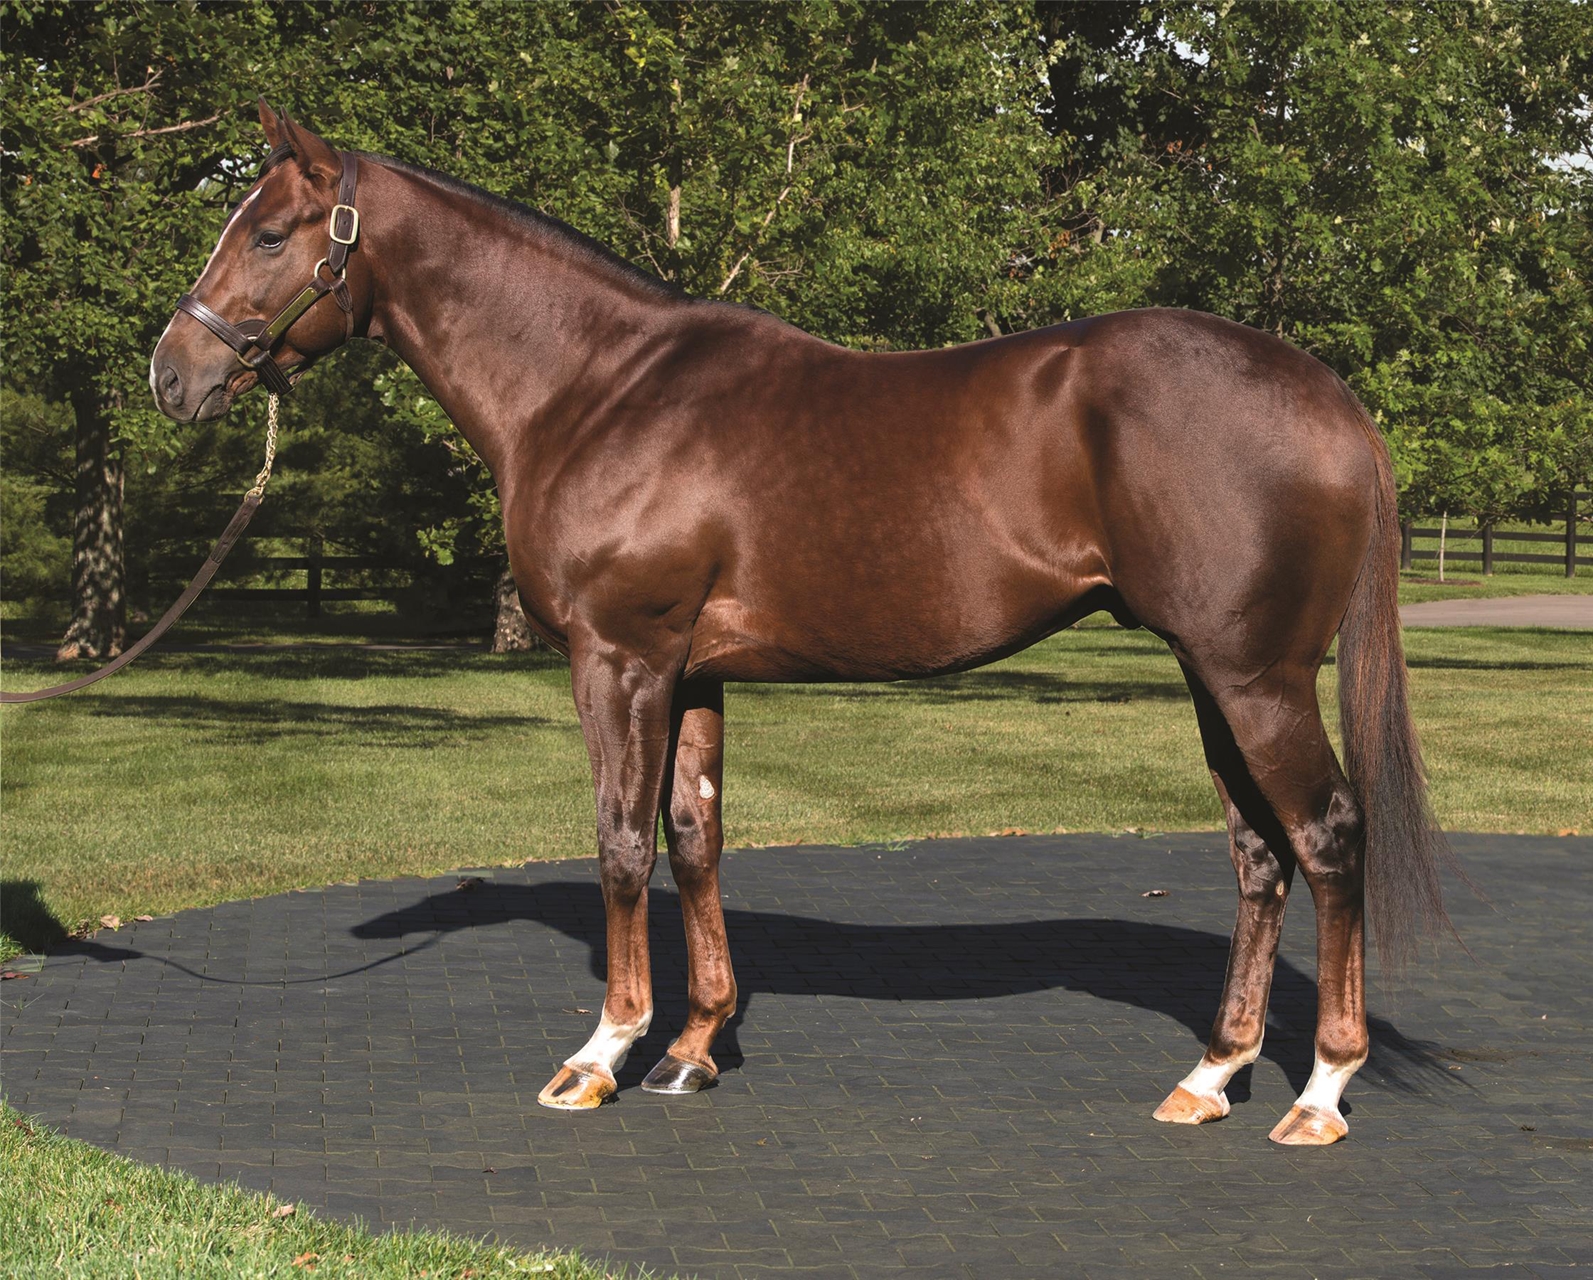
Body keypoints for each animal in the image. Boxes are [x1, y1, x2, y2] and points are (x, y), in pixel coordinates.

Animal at [151, 104, 1452, 1145]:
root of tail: (1330, 399)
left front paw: (601, 1053)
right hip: (1214, 672)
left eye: (270, 233)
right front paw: (691, 1047)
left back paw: (1319, 1090)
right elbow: (694, 835)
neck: (597, 387)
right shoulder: (691, 668)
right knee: (1258, 856)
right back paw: (1211, 1073)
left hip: (1255, 676)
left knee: (1327, 837)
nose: (173, 373)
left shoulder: (620, 656)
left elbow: (620, 841)